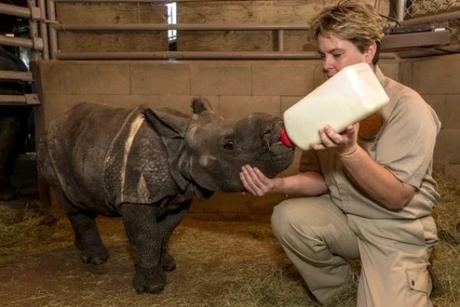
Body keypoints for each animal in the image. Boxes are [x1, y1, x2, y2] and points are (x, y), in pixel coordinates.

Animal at [37, 99, 292, 296]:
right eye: (228, 145)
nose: (277, 127)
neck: (178, 149)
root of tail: (52, 122)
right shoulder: (135, 197)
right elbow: (146, 236)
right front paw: (152, 288)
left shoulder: (179, 197)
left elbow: (164, 232)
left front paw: (167, 264)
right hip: (51, 148)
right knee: (72, 204)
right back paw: (97, 259)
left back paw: (81, 249)